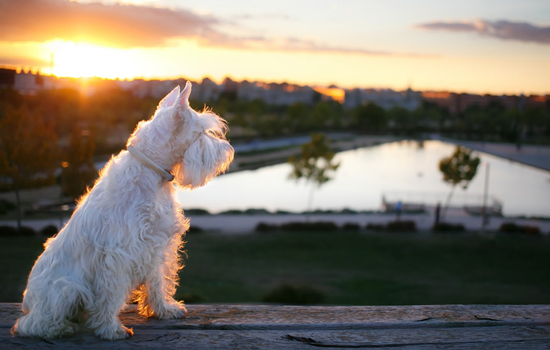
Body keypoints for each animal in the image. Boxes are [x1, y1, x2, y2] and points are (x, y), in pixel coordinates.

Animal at [11, 82, 234, 340]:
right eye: (202, 132)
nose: (228, 151)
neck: (151, 172)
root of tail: (27, 301)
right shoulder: (118, 254)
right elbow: (110, 295)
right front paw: (110, 329)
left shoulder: (155, 246)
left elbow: (157, 282)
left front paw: (163, 310)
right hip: (66, 288)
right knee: (31, 323)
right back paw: (60, 327)